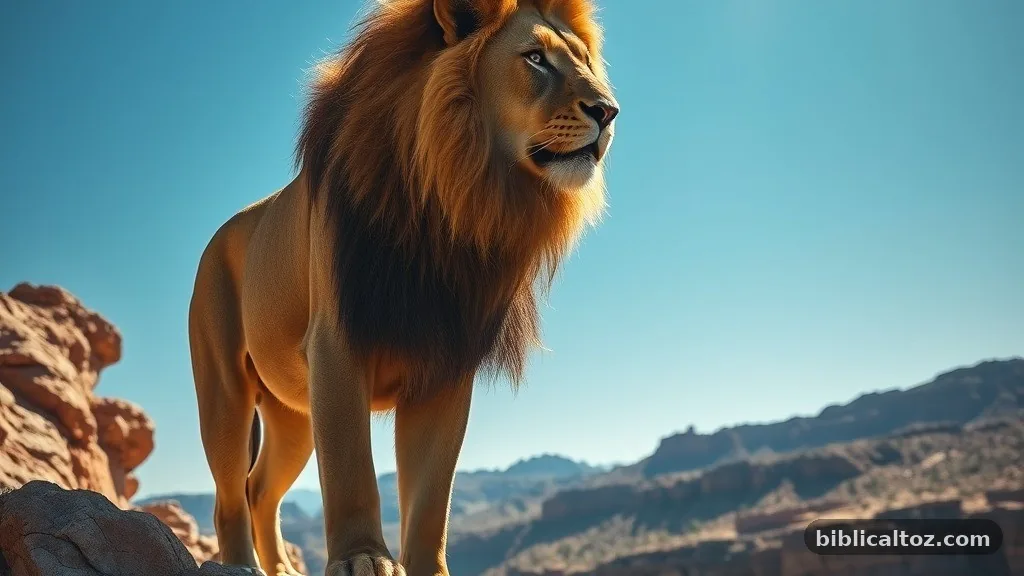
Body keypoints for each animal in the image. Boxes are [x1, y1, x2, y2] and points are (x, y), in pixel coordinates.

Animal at [188, 1, 618, 575]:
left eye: (586, 61)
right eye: (535, 58)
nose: (609, 112)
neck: (455, 202)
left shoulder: (445, 365)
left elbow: (433, 497)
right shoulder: (336, 345)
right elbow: (351, 470)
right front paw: (363, 557)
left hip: (293, 416)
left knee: (260, 489)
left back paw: (281, 567)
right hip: (225, 391)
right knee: (229, 495)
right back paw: (242, 565)